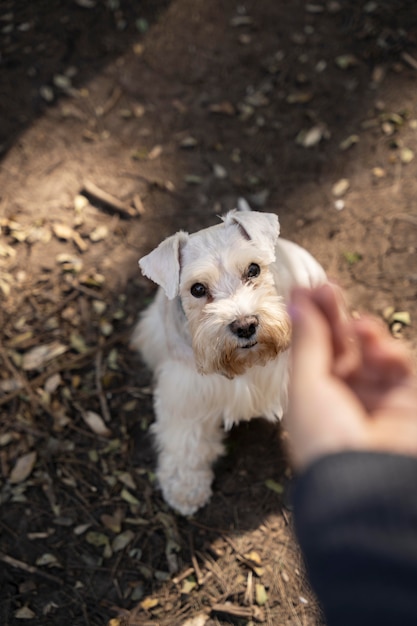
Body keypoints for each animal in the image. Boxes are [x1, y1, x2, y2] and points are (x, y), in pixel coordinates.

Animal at [132, 205, 326, 512]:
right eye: (197, 289)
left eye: (253, 269)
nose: (245, 326)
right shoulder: (187, 394)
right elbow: (186, 441)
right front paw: (185, 488)